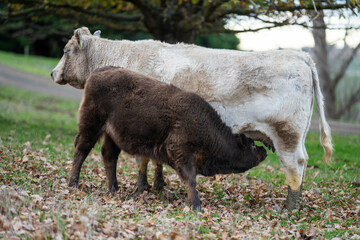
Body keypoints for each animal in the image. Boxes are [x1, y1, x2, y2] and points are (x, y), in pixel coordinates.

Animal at [50, 26, 332, 210]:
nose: (53, 73)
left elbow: (142, 159)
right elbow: (154, 160)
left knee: (294, 166)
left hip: (287, 135)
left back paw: (289, 207)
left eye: (66, 50)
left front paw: (142, 187)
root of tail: (299, 55)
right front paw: (158, 185)